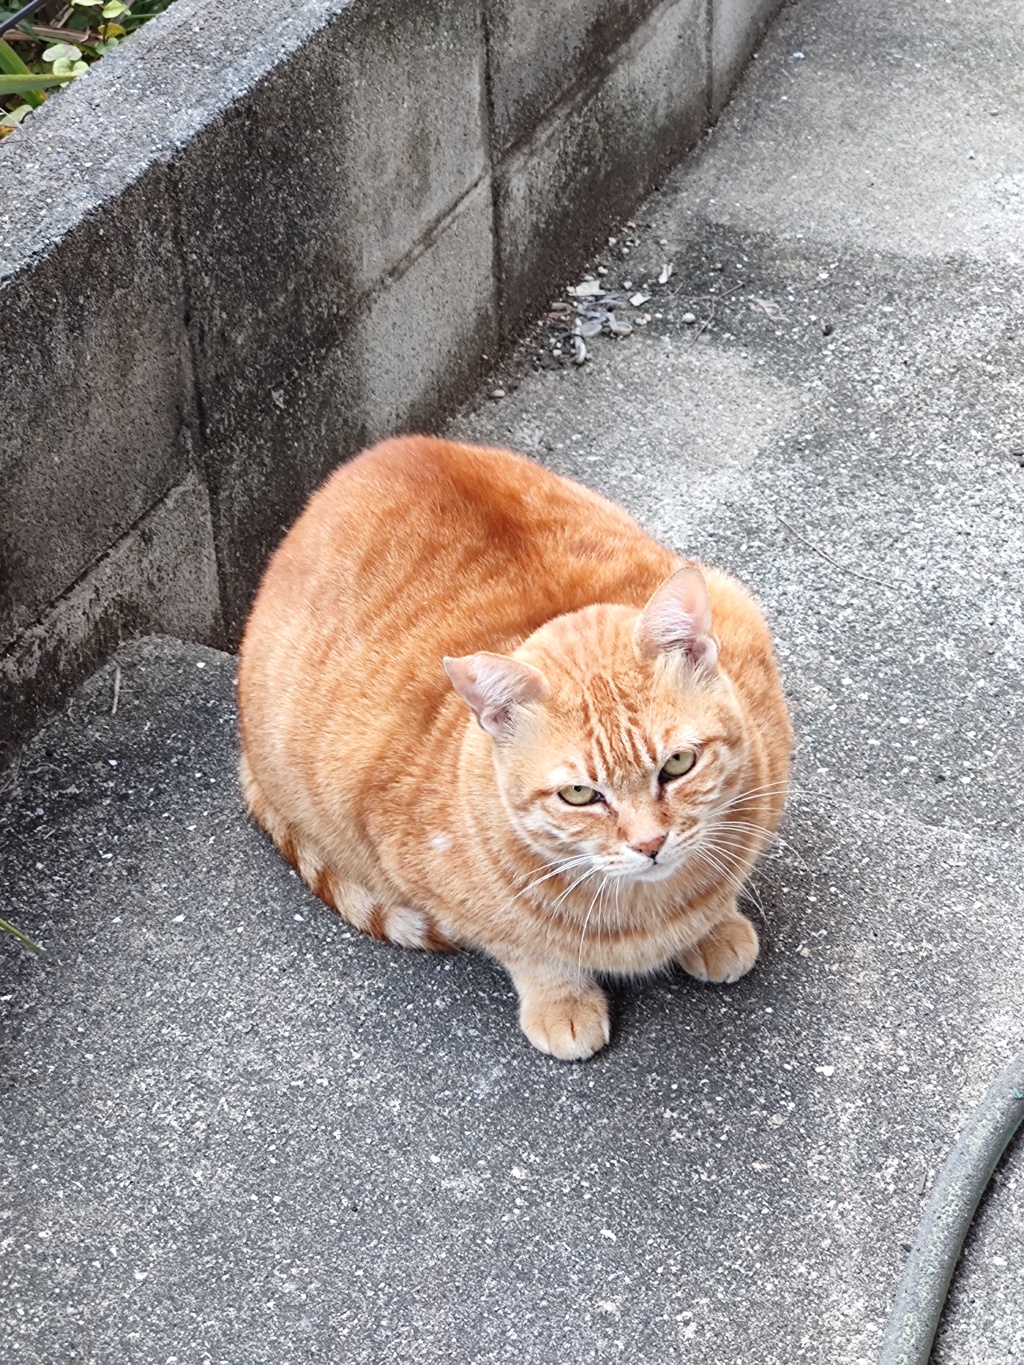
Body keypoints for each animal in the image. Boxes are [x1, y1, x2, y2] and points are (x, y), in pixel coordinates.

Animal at [236, 434, 791, 1053]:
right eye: (579, 794)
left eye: (678, 764)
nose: (650, 844)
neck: (647, 908)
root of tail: (377, 451)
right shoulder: (414, 865)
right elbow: (526, 949)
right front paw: (561, 1001)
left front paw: (714, 926)